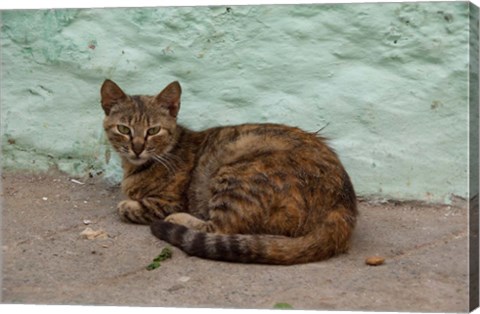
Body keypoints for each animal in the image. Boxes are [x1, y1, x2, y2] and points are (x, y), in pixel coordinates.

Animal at [100, 79, 356, 264]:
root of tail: (341, 206)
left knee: (221, 229)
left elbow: (129, 207)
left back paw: (180, 220)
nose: (137, 147)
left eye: (153, 130)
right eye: (124, 129)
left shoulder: (168, 201)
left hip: (236, 173)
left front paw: (130, 205)